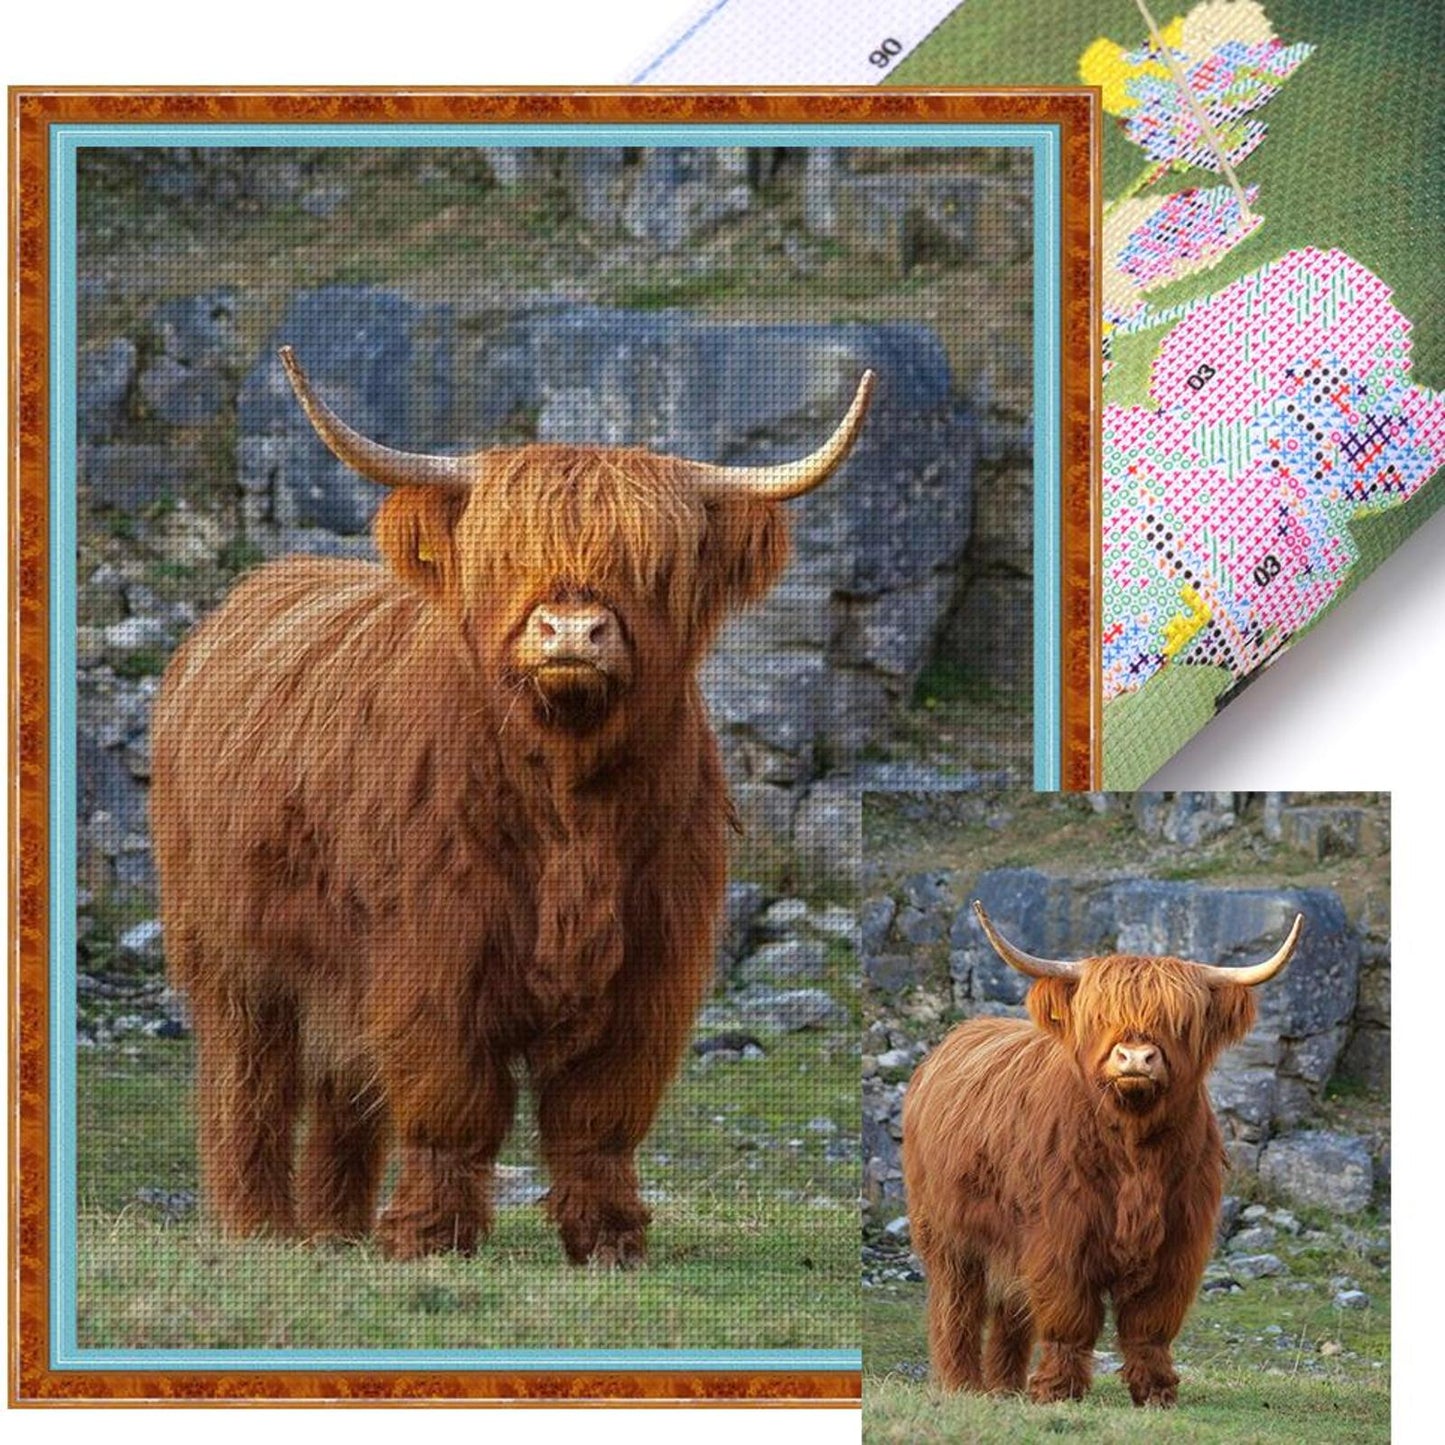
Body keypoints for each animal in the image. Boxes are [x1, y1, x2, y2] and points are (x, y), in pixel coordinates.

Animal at [150, 346, 873, 1265]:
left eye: (654, 565)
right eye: (505, 555)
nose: (570, 631)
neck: (567, 803)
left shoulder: (651, 963)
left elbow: (599, 1113)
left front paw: (609, 1239)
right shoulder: (434, 953)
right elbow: (450, 1098)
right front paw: (431, 1236)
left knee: (344, 1086)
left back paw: (337, 1227)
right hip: (233, 952)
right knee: (250, 1079)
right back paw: (259, 1225)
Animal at [901, 902, 1301, 1407]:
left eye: (1180, 1021)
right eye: (1099, 1016)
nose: (1135, 1058)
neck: (1133, 1152)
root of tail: (955, 1037)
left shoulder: (1179, 1242)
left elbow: (1150, 1324)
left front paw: (1156, 1392)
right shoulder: (1060, 1236)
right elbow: (1068, 1316)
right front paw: (1058, 1391)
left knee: (1011, 1311)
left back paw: (1006, 1387)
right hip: (948, 1234)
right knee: (957, 1306)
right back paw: (962, 1385)